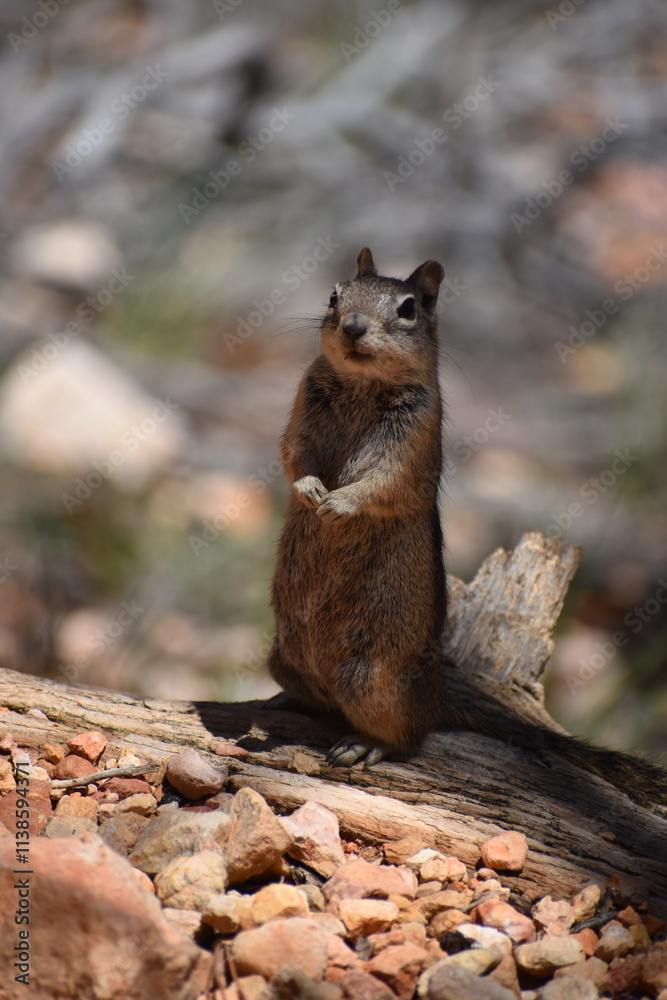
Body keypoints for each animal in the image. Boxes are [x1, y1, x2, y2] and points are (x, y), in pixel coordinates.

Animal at [268, 247, 667, 808]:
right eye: (333, 295)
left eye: (409, 308)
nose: (352, 326)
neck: (362, 383)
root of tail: (435, 695)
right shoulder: (304, 406)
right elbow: (293, 455)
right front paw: (309, 490)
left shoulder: (412, 438)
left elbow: (382, 483)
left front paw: (340, 503)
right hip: (282, 657)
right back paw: (291, 701)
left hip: (372, 678)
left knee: (411, 736)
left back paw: (368, 743)